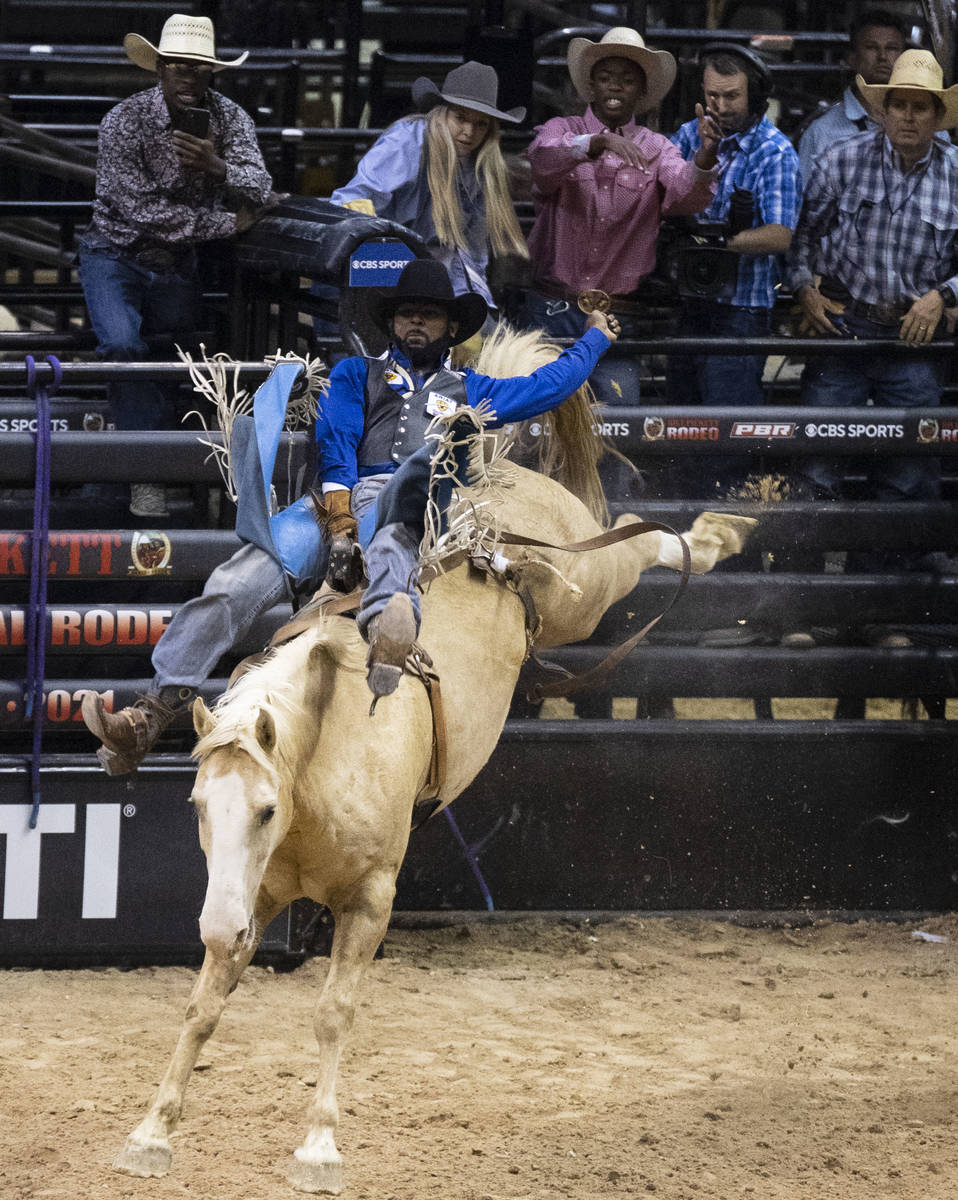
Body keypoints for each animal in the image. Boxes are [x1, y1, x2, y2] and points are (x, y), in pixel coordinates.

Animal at [112, 460, 758, 1190]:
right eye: (197, 806)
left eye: (266, 809)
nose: (218, 927)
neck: (328, 752)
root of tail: (497, 478)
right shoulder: (254, 894)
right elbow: (203, 1006)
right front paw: (151, 1133)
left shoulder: (370, 900)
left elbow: (333, 1013)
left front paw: (319, 1147)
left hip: (588, 585)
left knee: (639, 544)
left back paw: (717, 533)